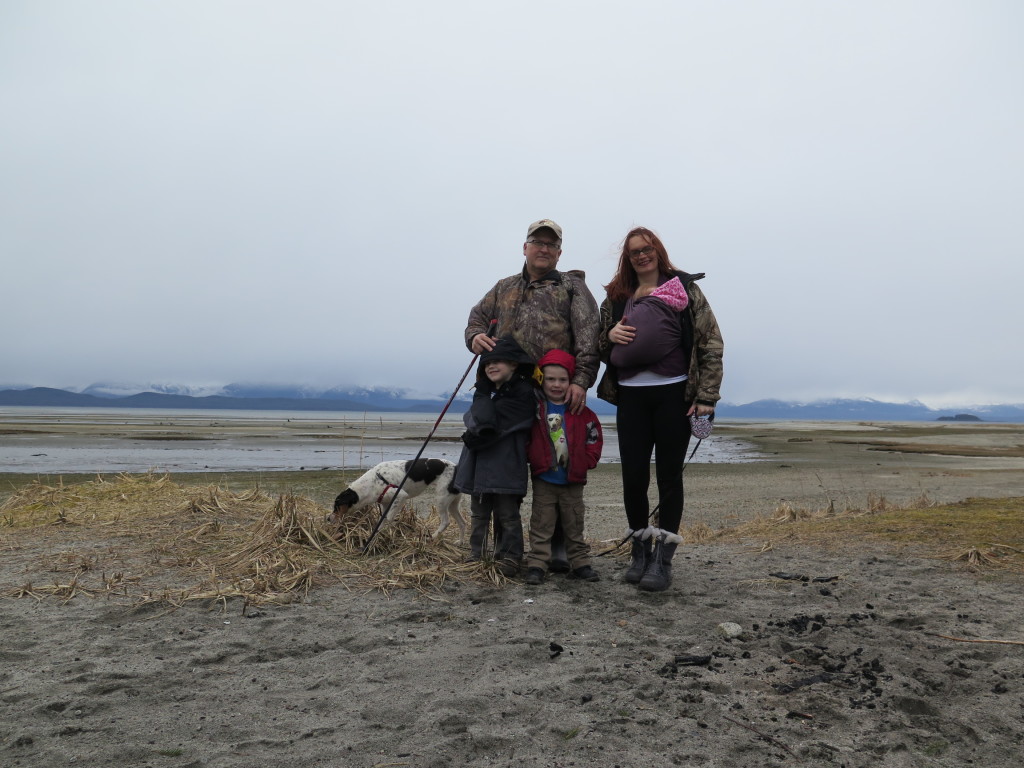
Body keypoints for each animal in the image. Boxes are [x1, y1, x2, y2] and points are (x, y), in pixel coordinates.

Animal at [329, 460, 466, 544]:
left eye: (337, 506)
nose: (328, 519)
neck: (372, 483)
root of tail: (456, 468)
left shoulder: (400, 496)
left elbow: (388, 519)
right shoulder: (385, 504)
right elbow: (382, 520)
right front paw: (377, 535)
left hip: (441, 500)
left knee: (445, 522)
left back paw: (431, 537)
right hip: (452, 504)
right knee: (462, 523)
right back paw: (460, 542)